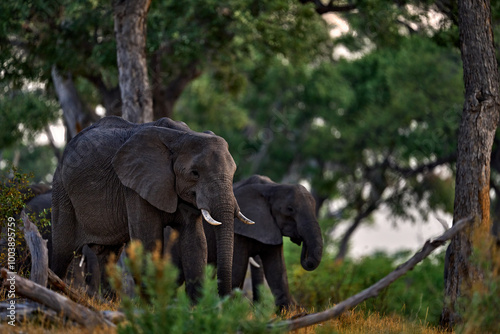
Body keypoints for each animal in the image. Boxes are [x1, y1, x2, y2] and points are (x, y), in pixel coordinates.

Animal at [50, 115, 254, 300]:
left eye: (233, 172)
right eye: (194, 173)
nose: (226, 300)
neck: (182, 136)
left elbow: (195, 242)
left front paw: (197, 309)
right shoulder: (135, 185)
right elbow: (148, 239)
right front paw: (153, 308)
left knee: (109, 255)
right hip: (61, 190)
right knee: (61, 251)